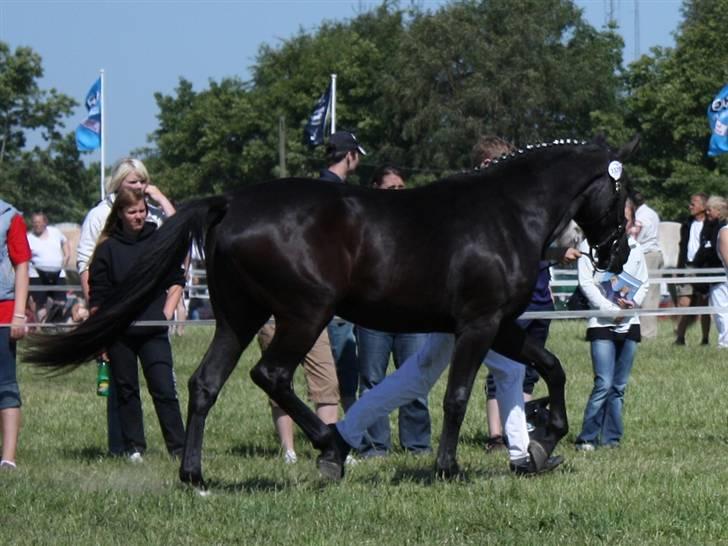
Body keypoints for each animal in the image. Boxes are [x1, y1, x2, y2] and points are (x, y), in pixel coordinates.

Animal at [25, 137, 636, 488]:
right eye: (623, 191)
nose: (618, 253)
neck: (506, 213)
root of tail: (231, 202)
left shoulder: (499, 325)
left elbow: (551, 367)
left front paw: (544, 439)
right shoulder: (479, 324)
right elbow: (459, 395)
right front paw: (449, 467)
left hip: (238, 318)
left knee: (204, 383)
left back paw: (194, 474)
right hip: (303, 315)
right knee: (271, 374)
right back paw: (332, 449)